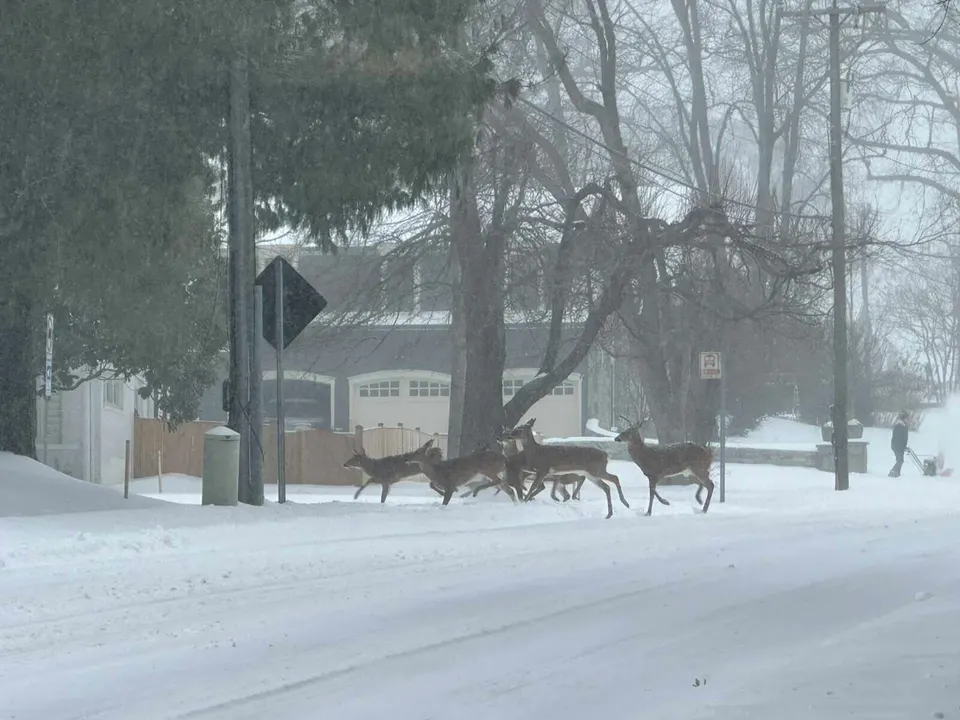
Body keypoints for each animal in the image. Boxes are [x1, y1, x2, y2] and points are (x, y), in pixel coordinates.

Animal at [500, 418, 630, 519]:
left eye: (519, 429)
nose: (508, 435)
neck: (535, 453)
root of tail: (605, 455)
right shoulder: (538, 471)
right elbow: (534, 485)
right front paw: (525, 499)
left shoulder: (543, 469)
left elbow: (533, 486)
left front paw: (524, 501)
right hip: (591, 474)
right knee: (606, 486)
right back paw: (609, 513)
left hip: (597, 470)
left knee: (615, 478)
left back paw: (625, 503)